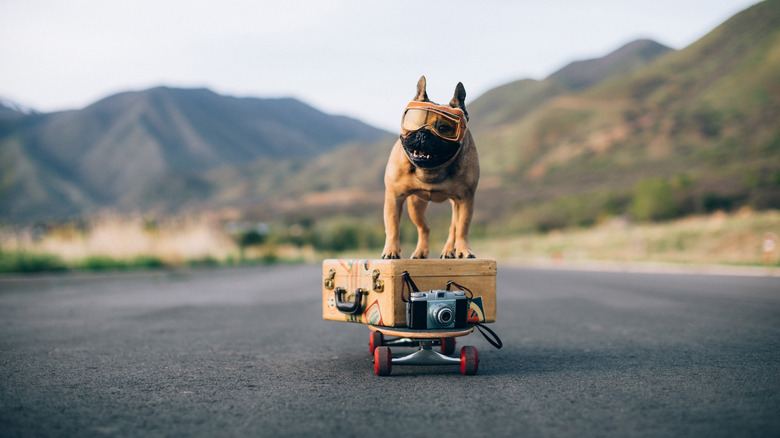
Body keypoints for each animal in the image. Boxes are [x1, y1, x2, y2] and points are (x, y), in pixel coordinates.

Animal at [380, 76, 478, 258]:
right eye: (414, 121)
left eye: (444, 128)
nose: (423, 134)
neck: (431, 170)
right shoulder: (394, 197)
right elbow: (393, 227)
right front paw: (391, 251)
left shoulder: (465, 200)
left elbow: (462, 229)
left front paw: (464, 250)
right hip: (415, 205)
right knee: (424, 228)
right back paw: (420, 252)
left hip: (454, 205)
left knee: (453, 228)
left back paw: (449, 251)